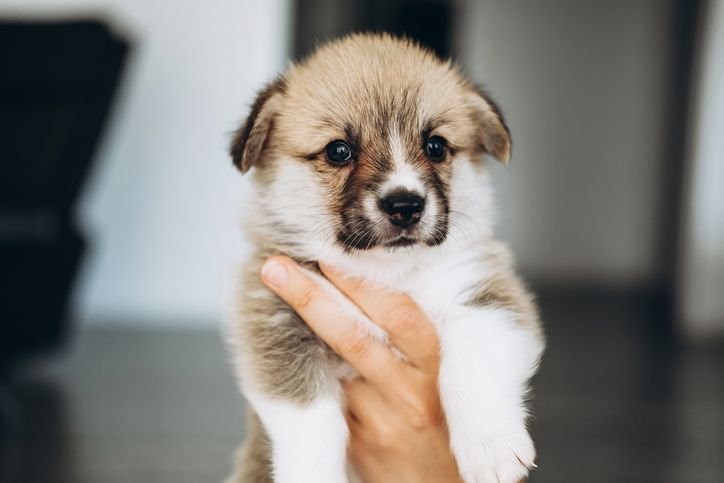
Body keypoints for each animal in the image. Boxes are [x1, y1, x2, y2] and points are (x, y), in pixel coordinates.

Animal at [225, 34, 544, 483]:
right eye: (338, 151)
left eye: (436, 146)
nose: (405, 205)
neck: (385, 271)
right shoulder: (277, 322)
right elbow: (311, 419)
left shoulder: (481, 288)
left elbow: (474, 363)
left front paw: (489, 447)